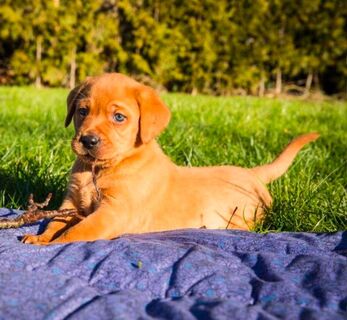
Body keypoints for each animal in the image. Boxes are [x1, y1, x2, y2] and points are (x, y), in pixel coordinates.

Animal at [21, 74, 320, 244]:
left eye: (119, 117)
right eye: (82, 111)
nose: (88, 141)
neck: (99, 169)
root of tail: (252, 173)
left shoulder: (114, 211)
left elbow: (77, 231)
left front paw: (50, 244)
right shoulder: (71, 202)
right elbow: (55, 222)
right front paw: (40, 237)